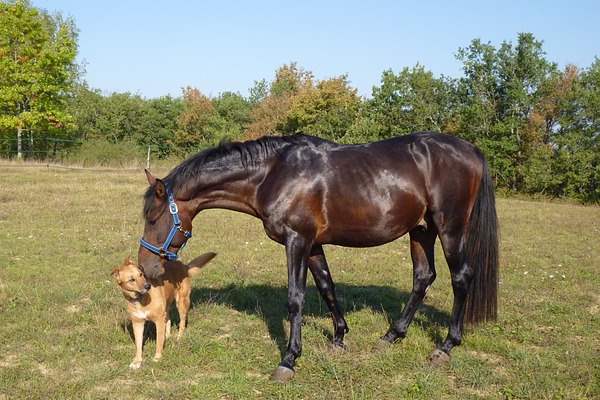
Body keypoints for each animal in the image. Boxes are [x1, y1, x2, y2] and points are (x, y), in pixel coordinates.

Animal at [137, 131, 496, 382]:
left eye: (153, 218)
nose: (146, 268)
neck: (273, 174)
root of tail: (471, 150)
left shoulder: (297, 241)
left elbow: (296, 298)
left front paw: (289, 359)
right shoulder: (312, 245)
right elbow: (326, 286)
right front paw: (339, 338)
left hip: (449, 228)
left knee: (460, 277)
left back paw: (446, 346)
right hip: (421, 231)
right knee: (423, 277)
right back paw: (392, 336)